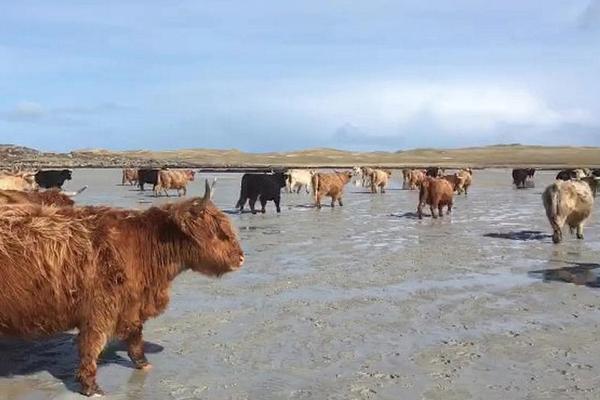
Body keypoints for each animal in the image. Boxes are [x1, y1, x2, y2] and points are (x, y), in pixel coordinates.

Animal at [0, 182, 246, 396]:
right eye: (218, 232)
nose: (241, 258)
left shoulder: (131, 302)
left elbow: (135, 335)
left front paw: (143, 364)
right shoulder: (100, 309)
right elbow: (91, 346)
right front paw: (91, 386)